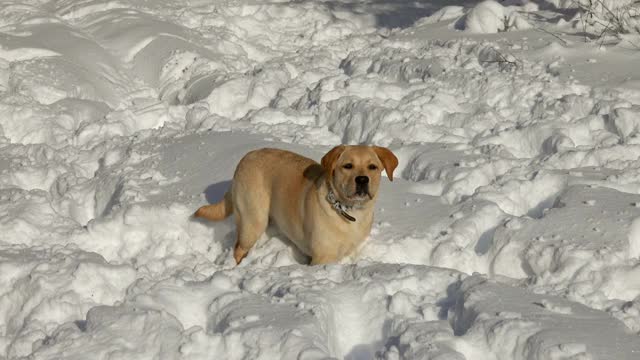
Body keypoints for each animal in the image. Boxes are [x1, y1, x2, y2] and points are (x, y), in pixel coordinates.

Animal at [192, 145, 398, 266]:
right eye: (348, 166)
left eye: (372, 167)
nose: (362, 179)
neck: (347, 210)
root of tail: (243, 159)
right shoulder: (322, 257)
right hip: (253, 220)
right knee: (238, 249)